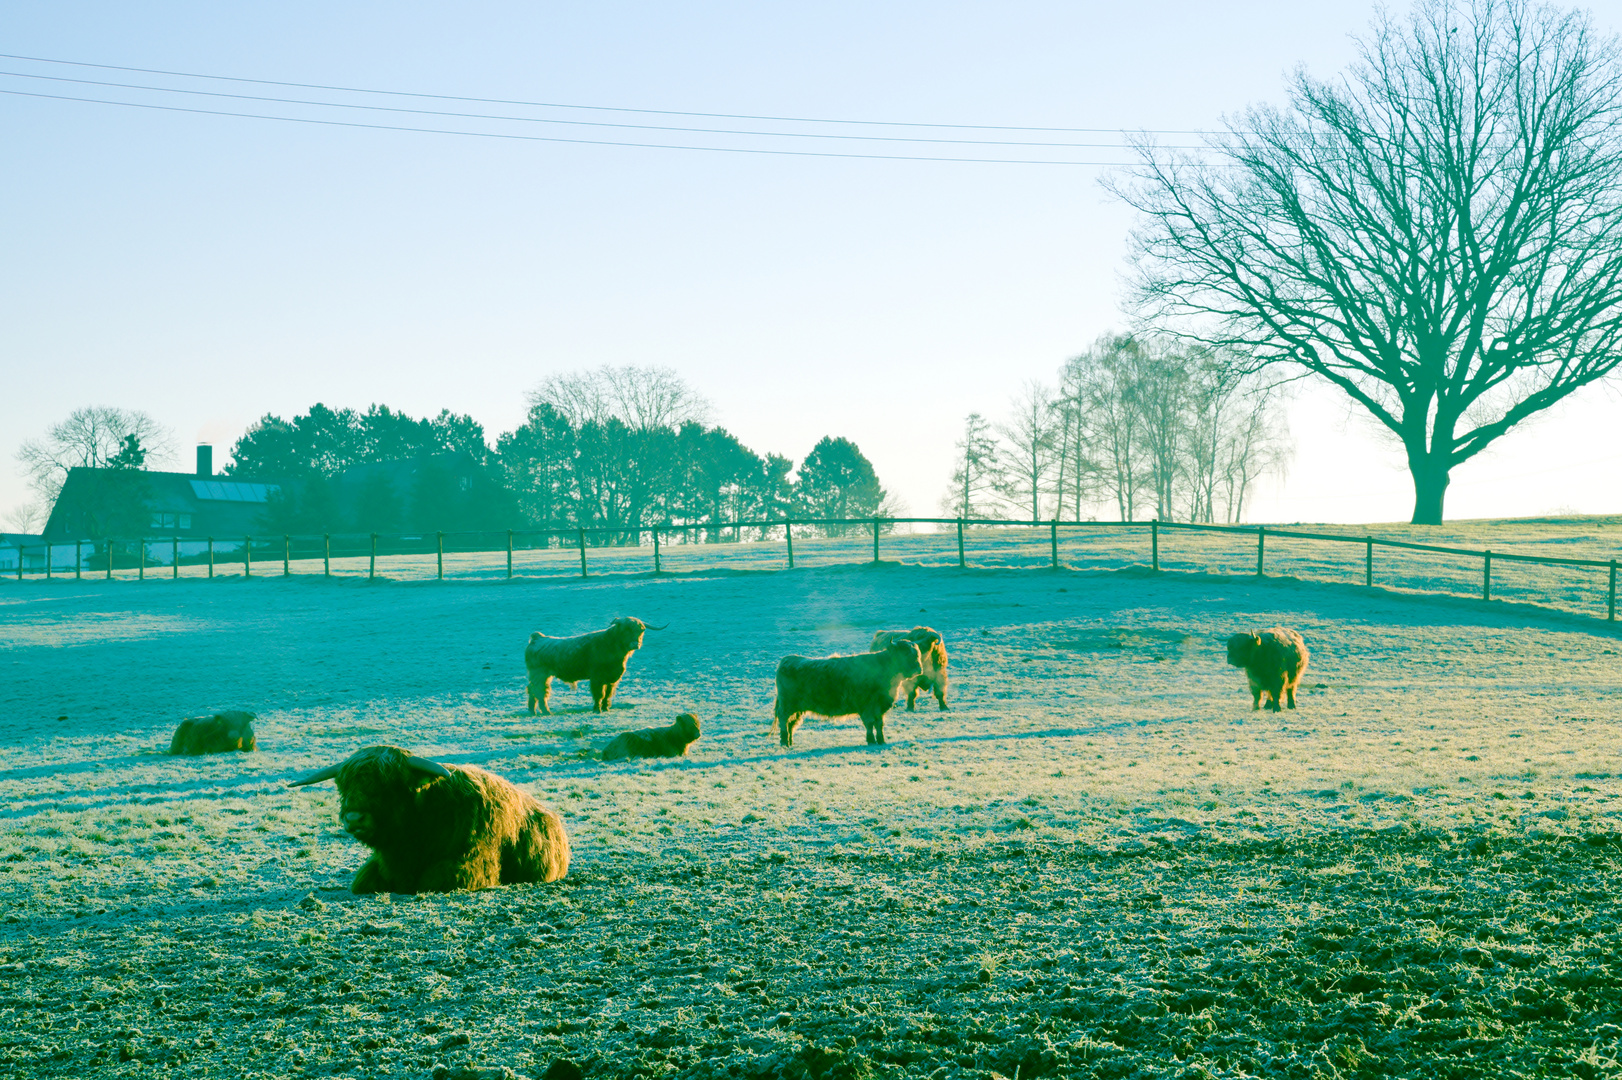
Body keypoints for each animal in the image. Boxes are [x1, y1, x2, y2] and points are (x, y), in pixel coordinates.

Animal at [525, 612, 665, 713]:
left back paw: (533, 711)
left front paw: (605, 708)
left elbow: (608, 693)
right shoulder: (597, 677)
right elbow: (599, 693)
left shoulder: (612, 678)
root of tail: (538, 638)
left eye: (641, 630)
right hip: (540, 675)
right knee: (540, 691)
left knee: (532, 689)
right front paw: (597, 709)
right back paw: (546, 712)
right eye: (626, 630)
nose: (636, 644)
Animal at [775, 635, 927, 745]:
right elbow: (870, 724)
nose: (919, 669)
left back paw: (790, 741)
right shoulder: (867, 706)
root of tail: (787, 659)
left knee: (791, 722)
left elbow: (879, 724)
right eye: (904, 653)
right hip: (787, 705)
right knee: (784, 719)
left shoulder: (880, 707)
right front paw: (871, 741)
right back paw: (784, 741)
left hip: (797, 707)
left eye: (917, 653)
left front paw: (881, 740)